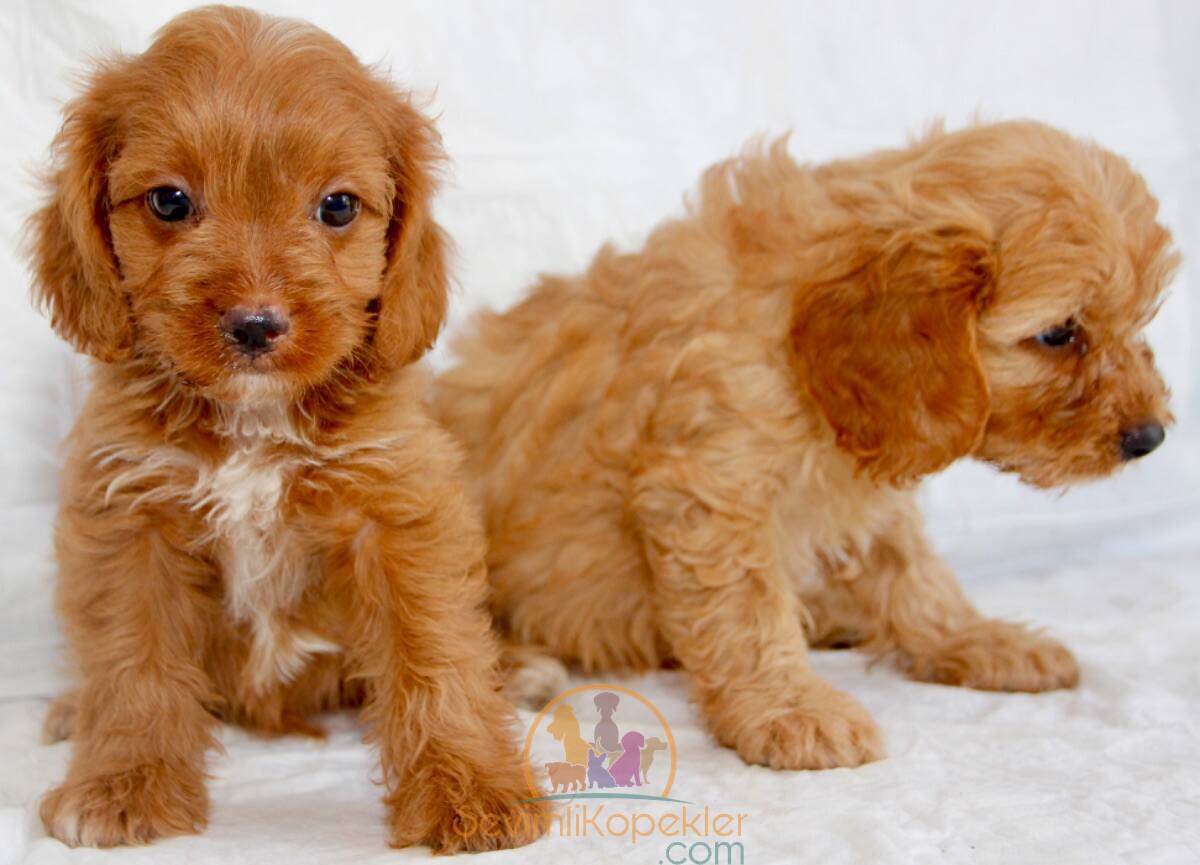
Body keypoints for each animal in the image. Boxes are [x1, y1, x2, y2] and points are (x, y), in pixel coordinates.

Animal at [29, 6, 544, 854]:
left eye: (336, 207)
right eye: (169, 201)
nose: (255, 323)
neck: (253, 420)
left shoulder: (397, 509)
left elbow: (437, 652)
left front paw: (471, 787)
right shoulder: (131, 516)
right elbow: (133, 658)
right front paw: (123, 779)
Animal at [434, 121, 1180, 767]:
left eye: (1137, 324)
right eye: (1058, 334)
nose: (1149, 438)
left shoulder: (872, 486)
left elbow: (916, 573)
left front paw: (975, 637)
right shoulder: (710, 487)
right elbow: (749, 609)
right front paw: (791, 708)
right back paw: (520, 667)